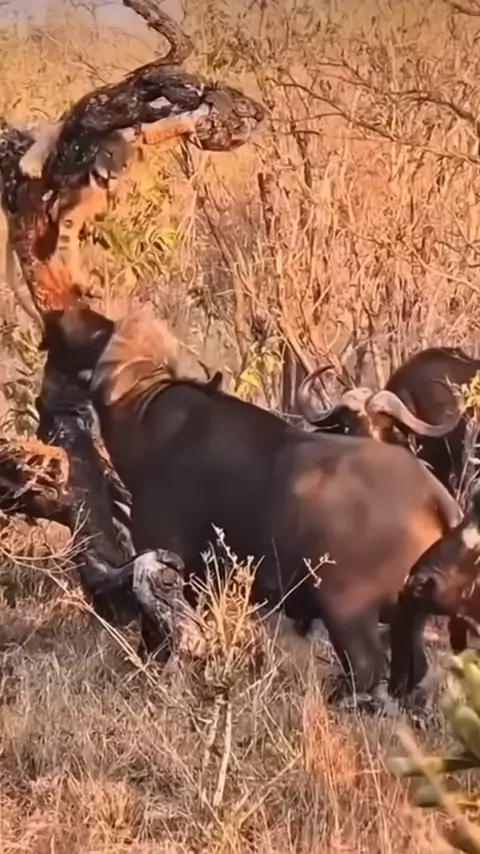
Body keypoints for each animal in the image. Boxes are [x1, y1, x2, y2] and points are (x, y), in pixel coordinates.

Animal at [38, 305, 464, 701]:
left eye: (99, 331)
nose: (60, 315)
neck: (148, 415)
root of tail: (432, 492)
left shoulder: (166, 560)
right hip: (407, 623)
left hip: (350, 616)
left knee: (366, 672)